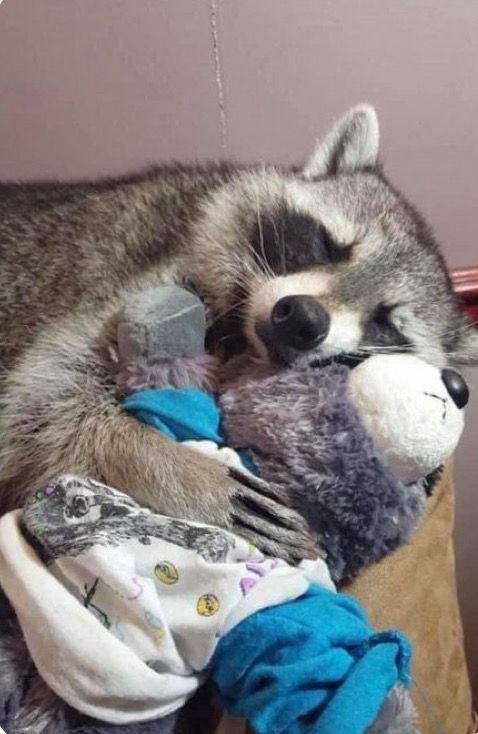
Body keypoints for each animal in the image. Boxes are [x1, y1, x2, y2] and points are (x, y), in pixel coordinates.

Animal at [0, 105, 475, 563]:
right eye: (328, 245)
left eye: (386, 322)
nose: (304, 320)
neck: (243, 334)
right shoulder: (143, 280)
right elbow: (43, 402)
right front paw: (164, 464)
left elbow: (44, 405)